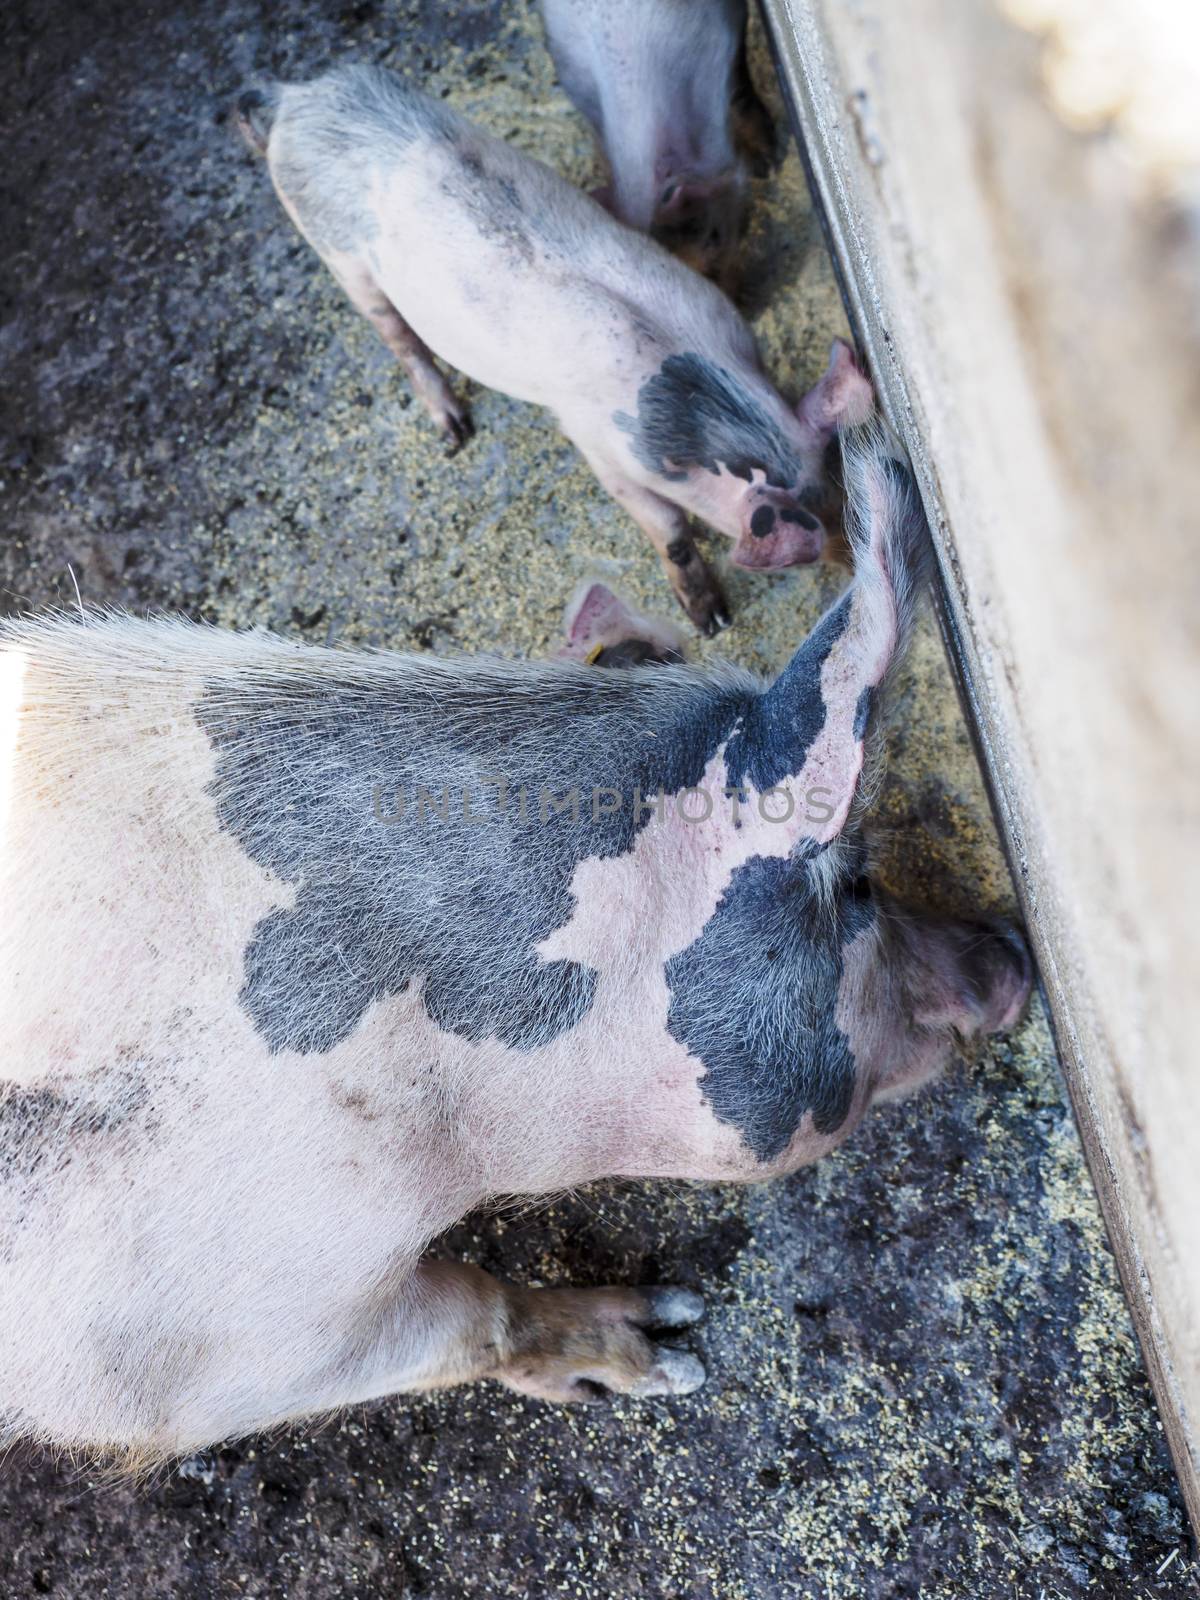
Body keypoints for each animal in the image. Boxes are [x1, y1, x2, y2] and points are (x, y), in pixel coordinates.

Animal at [236, 62, 876, 636]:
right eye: (812, 541)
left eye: (847, 492)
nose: (859, 570)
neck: (694, 396)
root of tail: (294, 99)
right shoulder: (602, 449)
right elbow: (667, 530)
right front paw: (712, 622)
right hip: (338, 255)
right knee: (397, 336)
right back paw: (455, 431)